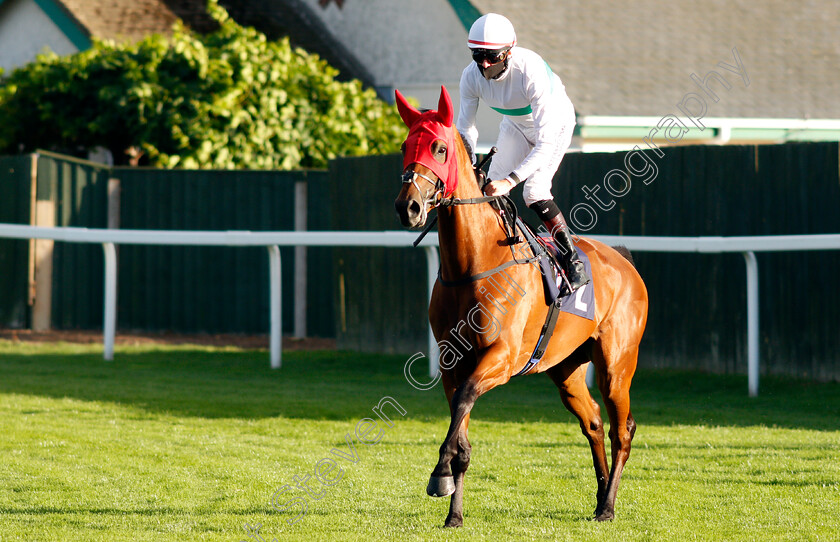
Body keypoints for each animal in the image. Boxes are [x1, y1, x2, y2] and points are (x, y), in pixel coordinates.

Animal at [394, 86, 648, 532]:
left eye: (440, 148)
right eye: (406, 146)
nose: (408, 206)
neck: (473, 265)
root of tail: (624, 261)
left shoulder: (501, 358)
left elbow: (465, 402)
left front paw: (438, 476)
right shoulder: (451, 363)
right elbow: (461, 429)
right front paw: (454, 512)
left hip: (617, 364)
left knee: (622, 428)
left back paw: (609, 505)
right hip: (566, 369)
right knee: (593, 422)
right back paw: (600, 495)